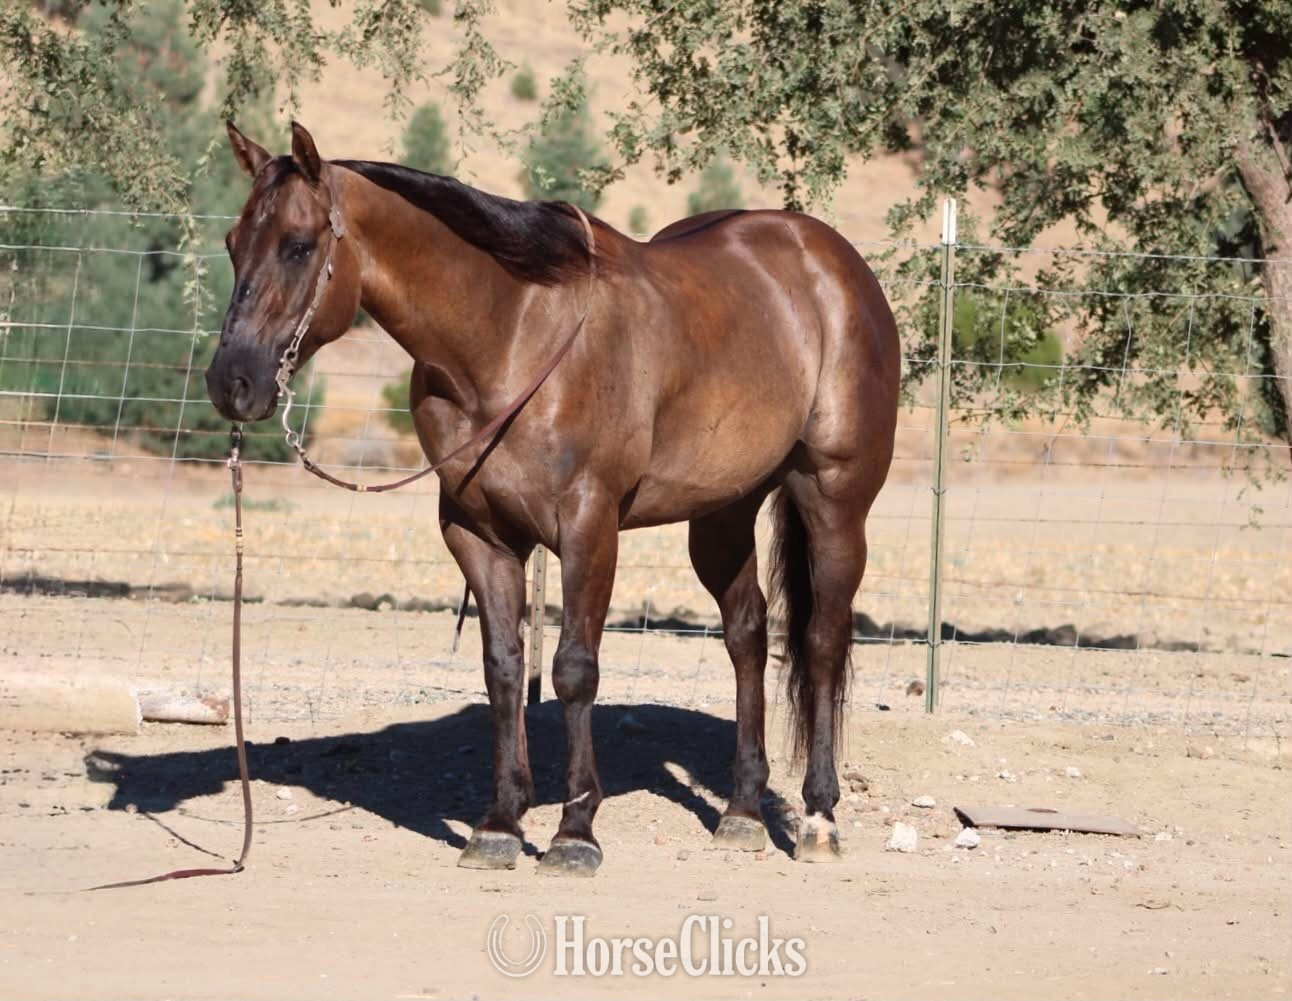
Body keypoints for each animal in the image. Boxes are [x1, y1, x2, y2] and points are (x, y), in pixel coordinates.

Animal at [205, 121, 900, 876]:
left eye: (299, 245)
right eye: (233, 243)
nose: (231, 382)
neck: (511, 335)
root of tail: (832, 260)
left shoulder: (588, 525)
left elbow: (573, 669)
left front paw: (575, 831)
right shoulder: (477, 534)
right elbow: (505, 669)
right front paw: (499, 824)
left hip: (834, 499)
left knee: (824, 639)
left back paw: (819, 817)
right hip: (722, 512)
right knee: (747, 633)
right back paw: (742, 812)